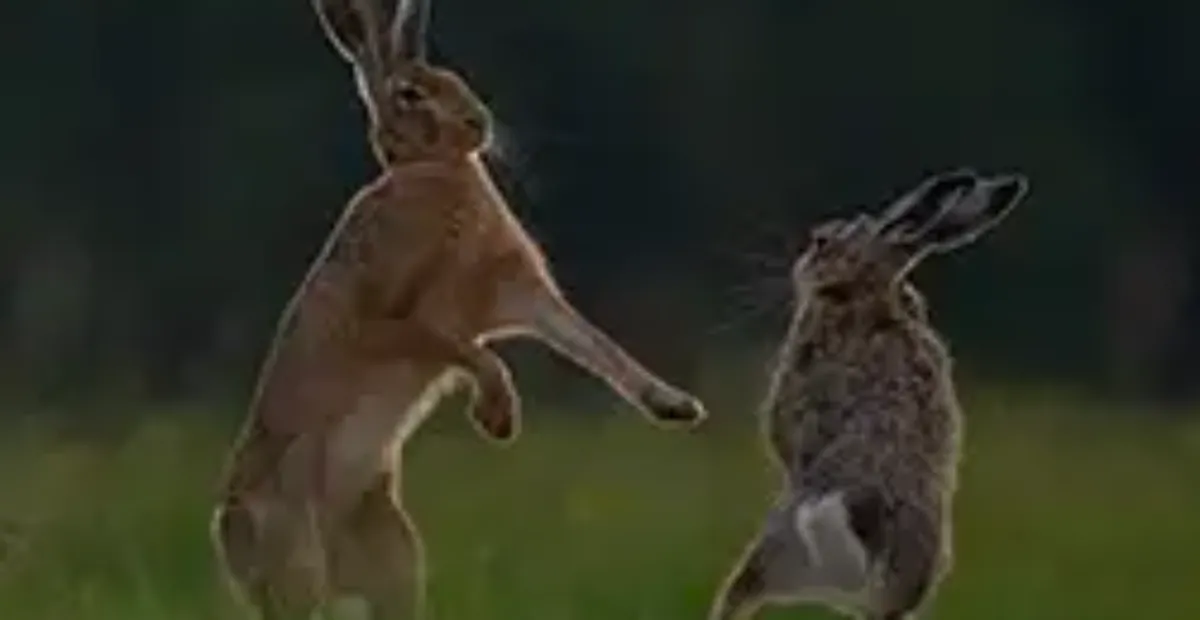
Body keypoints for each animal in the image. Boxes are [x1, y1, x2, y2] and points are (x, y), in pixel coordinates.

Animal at [210, 0, 708, 617]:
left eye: (454, 79)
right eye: (410, 94)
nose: (479, 123)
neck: (434, 171)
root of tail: (226, 529)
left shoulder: (520, 292)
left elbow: (592, 343)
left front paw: (676, 406)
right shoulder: (394, 317)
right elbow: (468, 351)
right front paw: (497, 418)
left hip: (395, 551)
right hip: (293, 557)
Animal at [707, 169, 1029, 620]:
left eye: (823, 241)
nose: (801, 263)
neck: (869, 288)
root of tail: (865, 571)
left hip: (776, 545)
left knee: (736, 597)